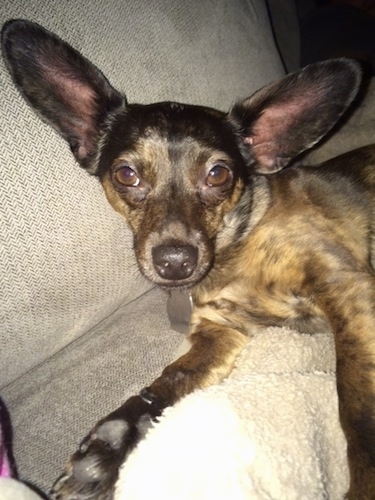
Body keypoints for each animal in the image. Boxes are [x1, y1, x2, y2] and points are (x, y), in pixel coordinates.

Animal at [2, 18, 375, 500]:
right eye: (127, 174)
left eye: (218, 174)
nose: (175, 261)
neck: (234, 250)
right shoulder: (219, 333)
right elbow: (169, 381)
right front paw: (110, 445)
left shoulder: (346, 286)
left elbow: (357, 402)